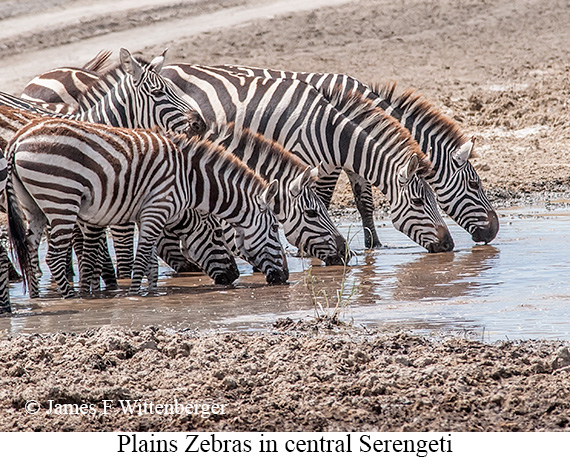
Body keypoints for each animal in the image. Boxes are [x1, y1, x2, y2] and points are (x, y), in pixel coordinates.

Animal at [6, 116, 286, 298]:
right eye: (275, 228)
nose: (284, 277)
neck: (191, 180)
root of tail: (18, 138)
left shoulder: (149, 214)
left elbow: (150, 259)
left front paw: (152, 292)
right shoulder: (157, 209)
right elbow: (141, 258)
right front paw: (134, 294)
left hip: (33, 206)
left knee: (29, 249)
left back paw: (36, 299)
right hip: (61, 200)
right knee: (53, 257)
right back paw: (70, 299)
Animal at [205, 64, 496, 246]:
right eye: (474, 184)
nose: (494, 231)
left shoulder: (356, 161)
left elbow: (364, 203)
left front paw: (374, 246)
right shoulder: (323, 164)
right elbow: (322, 200)